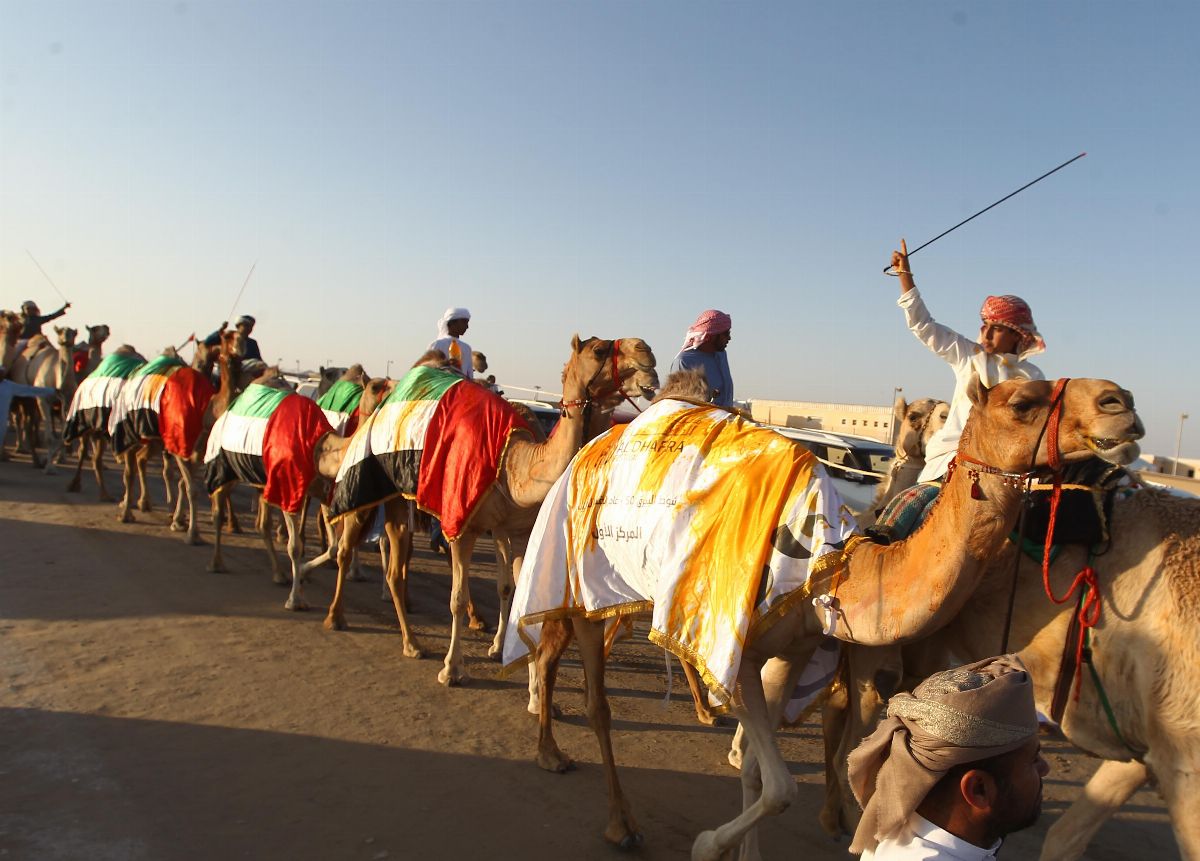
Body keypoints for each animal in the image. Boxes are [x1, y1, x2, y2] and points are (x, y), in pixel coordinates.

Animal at [321, 338, 657, 685]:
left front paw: (525, 671)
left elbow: (515, 590)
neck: (514, 463)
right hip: (371, 484)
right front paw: (452, 669)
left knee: (395, 571)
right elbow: (456, 598)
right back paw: (339, 618)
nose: (646, 352)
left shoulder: (516, 530)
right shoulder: (462, 524)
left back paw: (412, 642)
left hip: (404, 502)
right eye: (599, 350)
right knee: (353, 550)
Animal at [516, 378, 1142, 858]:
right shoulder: (738, 648)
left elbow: (756, 773)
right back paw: (609, 811)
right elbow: (779, 787)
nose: (1121, 402)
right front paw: (708, 845)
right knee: (589, 691)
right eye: (1024, 403)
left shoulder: (788, 651)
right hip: (581, 575)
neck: (833, 568)